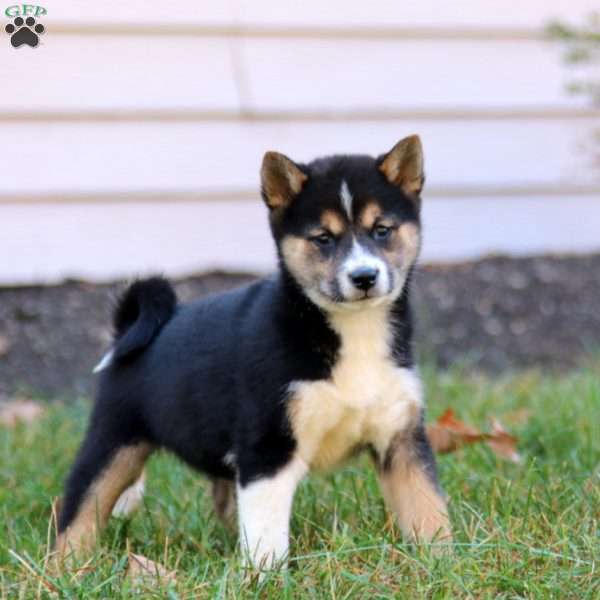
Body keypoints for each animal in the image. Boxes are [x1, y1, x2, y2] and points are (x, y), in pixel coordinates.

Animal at [55, 135, 450, 568]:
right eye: (323, 238)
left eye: (382, 230)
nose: (364, 276)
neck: (353, 332)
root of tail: (131, 329)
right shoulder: (267, 447)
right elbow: (266, 535)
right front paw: (264, 575)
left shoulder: (401, 439)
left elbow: (428, 509)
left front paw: (445, 562)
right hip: (113, 441)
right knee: (78, 510)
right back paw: (64, 568)